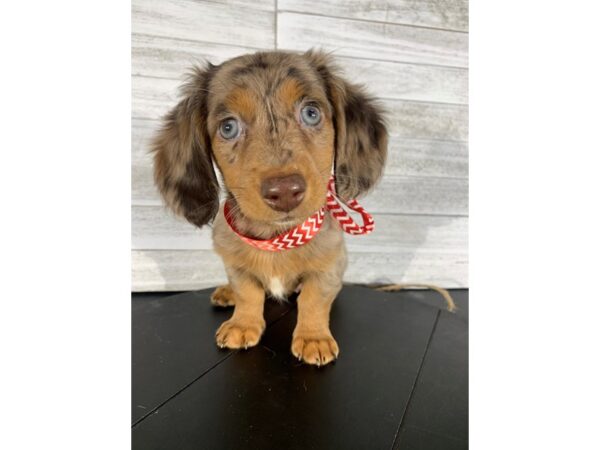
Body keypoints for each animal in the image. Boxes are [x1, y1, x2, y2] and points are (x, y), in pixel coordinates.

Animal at [152, 50, 386, 366]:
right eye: (228, 127)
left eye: (311, 113)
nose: (285, 192)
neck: (277, 238)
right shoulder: (233, 260)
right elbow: (247, 290)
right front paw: (243, 323)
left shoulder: (330, 263)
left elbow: (314, 297)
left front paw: (313, 337)